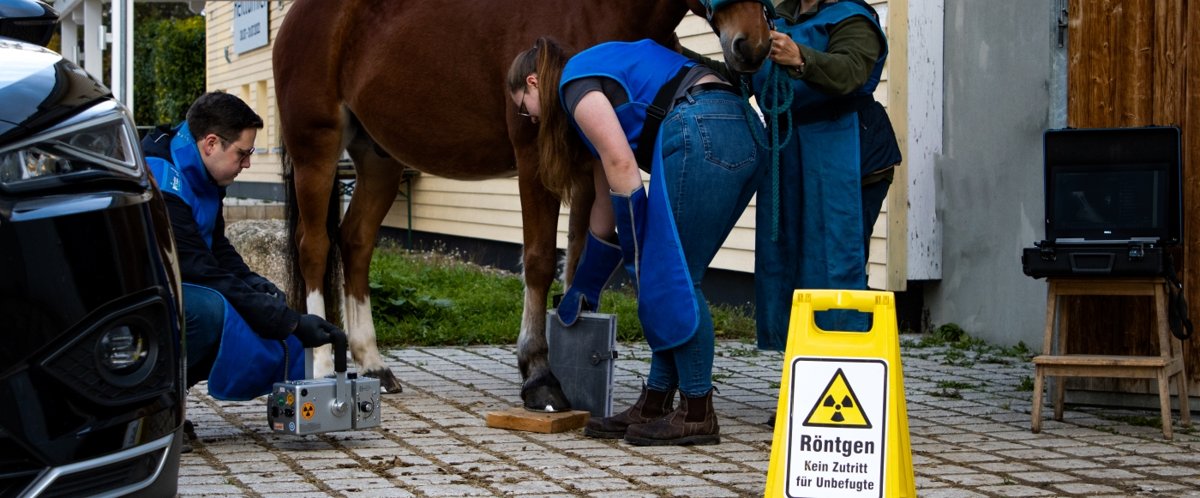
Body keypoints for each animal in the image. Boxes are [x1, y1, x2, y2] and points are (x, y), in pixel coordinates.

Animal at [276, 0, 772, 410]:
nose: (753, 45)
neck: (593, 7)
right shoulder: (535, 156)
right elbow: (538, 260)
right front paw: (538, 372)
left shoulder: (589, 161)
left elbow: (581, 256)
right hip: (317, 151)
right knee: (314, 247)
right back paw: (323, 363)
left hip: (379, 160)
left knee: (356, 242)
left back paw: (374, 364)